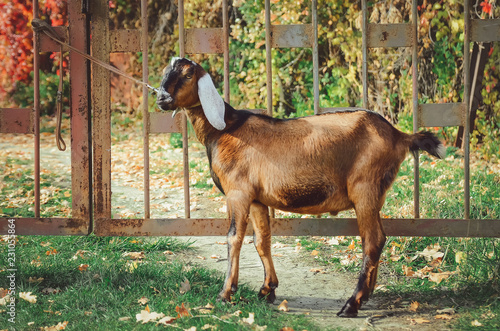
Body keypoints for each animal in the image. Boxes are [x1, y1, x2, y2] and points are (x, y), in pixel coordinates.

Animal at [156, 57, 446, 320]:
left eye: (187, 74)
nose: (160, 98)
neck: (226, 128)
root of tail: (400, 136)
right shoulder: (257, 199)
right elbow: (262, 240)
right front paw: (267, 290)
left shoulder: (238, 193)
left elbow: (233, 238)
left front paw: (225, 293)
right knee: (377, 240)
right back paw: (365, 297)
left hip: (365, 188)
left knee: (373, 241)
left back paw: (352, 304)